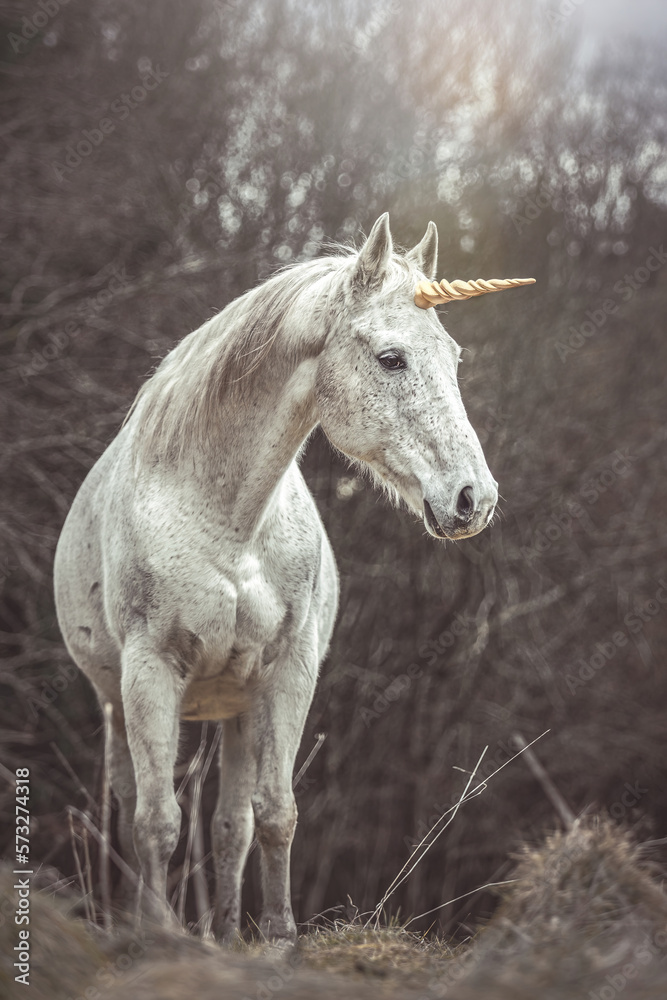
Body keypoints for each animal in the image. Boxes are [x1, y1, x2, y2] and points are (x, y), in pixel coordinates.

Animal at [53, 213, 507, 943]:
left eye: (453, 357)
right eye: (391, 359)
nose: (474, 498)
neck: (229, 522)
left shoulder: (286, 671)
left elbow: (274, 815)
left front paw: (278, 938)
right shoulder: (149, 672)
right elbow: (157, 822)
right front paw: (158, 937)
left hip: (238, 707)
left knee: (230, 826)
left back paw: (225, 936)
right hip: (116, 703)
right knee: (130, 809)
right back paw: (136, 925)